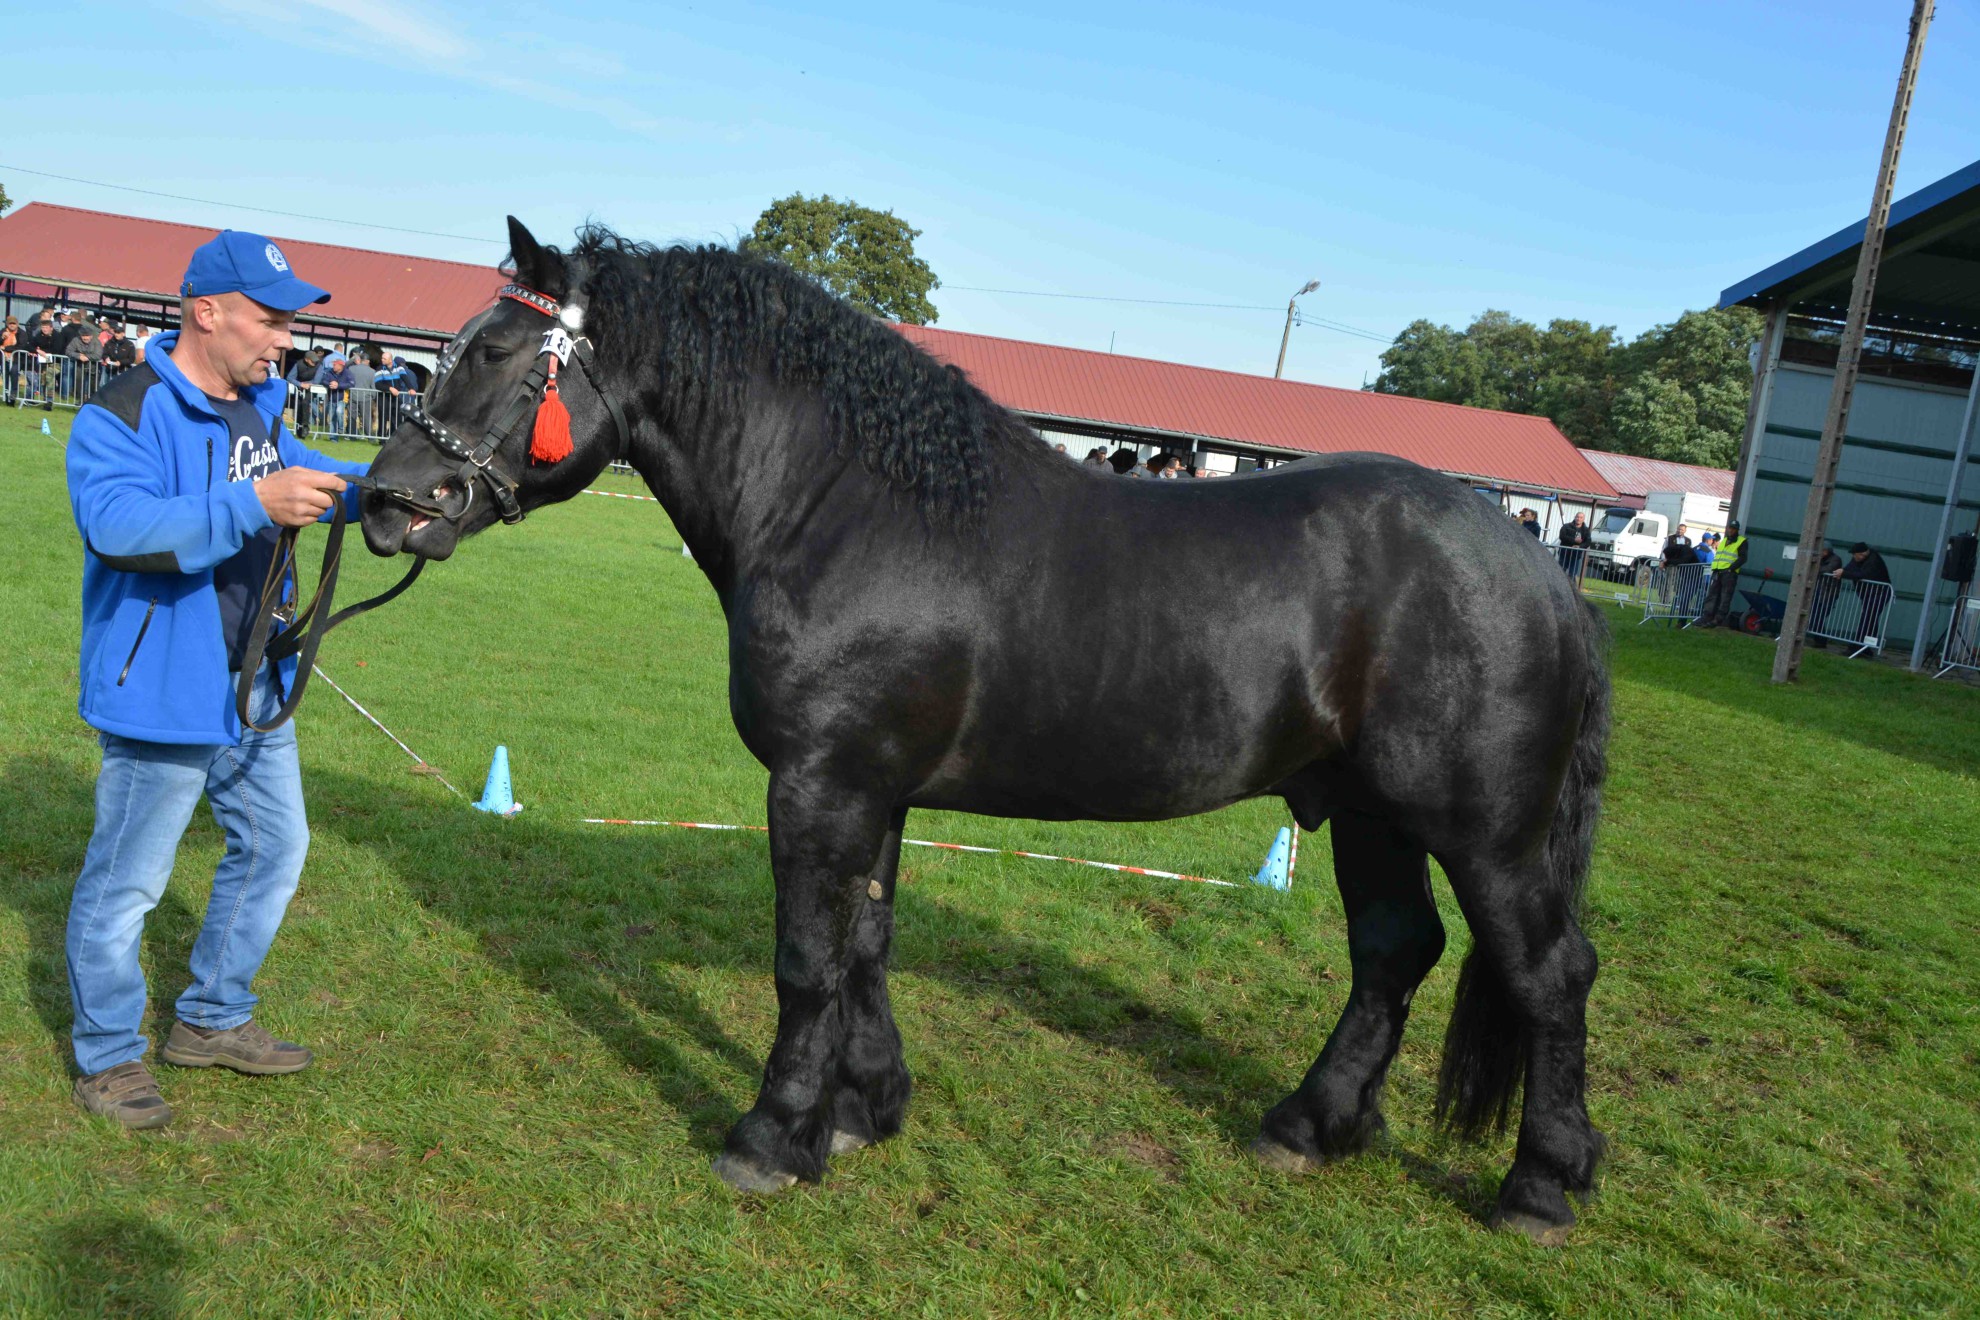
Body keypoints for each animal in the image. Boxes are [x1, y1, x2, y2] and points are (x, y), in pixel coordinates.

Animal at [359, 218, 1612, 1244]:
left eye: (496, 354)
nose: (387, 502)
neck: (850, 511)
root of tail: (1541, 568)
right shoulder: (874, 792)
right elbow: (864, 945)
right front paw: (861, 1112)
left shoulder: (821, 784)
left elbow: (805, 960)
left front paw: (769, 1138)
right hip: (1368, 813)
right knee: (1394, 953)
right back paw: (1308, 1126)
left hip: (1485, 833)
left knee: (1549, 974)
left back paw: (1538, 1189)